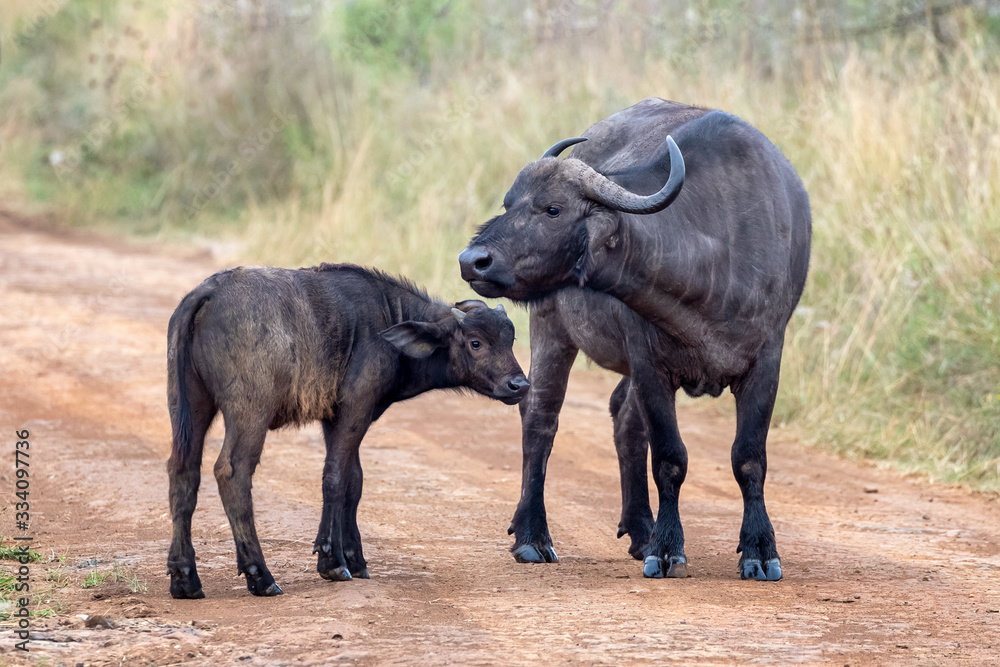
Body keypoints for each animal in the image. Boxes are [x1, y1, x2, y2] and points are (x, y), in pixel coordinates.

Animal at [166, 263, 529, 598]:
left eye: (510, 340)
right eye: (475, 343)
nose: (520, 385)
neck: (386, 320)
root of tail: (209, 291)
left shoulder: (336, 419)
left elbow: (354, 481)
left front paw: (355, 558)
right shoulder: (356, 407)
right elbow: (336, 477)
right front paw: (333, 560)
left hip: (188, 405)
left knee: (183, 472)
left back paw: (185, 577)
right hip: (250, 411)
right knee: (232, 472)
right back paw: (261, 575)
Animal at [458, 98, 811, 581]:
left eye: (552, 209)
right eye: (509, 204)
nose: (471, 260)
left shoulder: (766, 362)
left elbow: (749, 459)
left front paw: (759, 550)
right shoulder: (649, 363)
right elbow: (669, 458)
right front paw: (667, 549)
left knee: (623, 419)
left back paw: (641, 528)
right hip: (552, 327)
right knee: (540, 418)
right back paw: (533, 535)